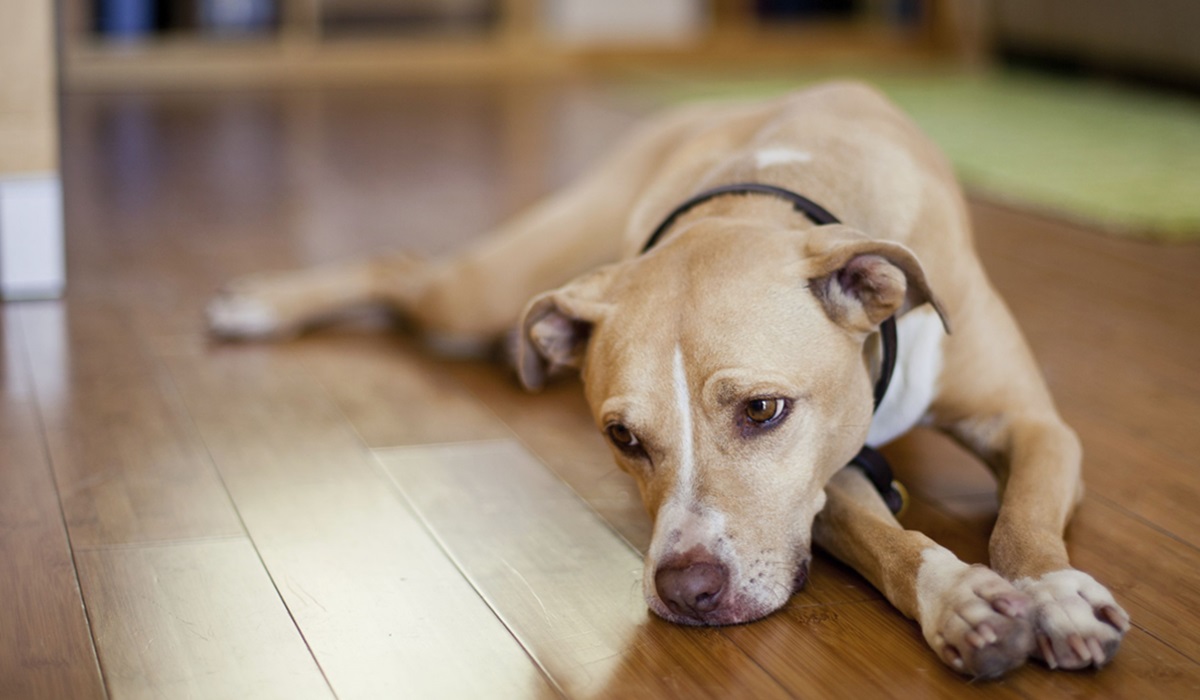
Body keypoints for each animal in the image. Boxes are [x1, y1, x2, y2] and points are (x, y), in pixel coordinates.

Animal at [211, 82, 1128, 677]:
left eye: (764, 410)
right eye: (622, 438)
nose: (686, 591)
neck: (776, 194)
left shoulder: (1032, 425)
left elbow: (1024, 519)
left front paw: (1054, 594)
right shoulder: (820, 489)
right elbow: (891, 542)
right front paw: (961, 600)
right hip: (489, 289)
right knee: (402, 266)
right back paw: (256, 306)